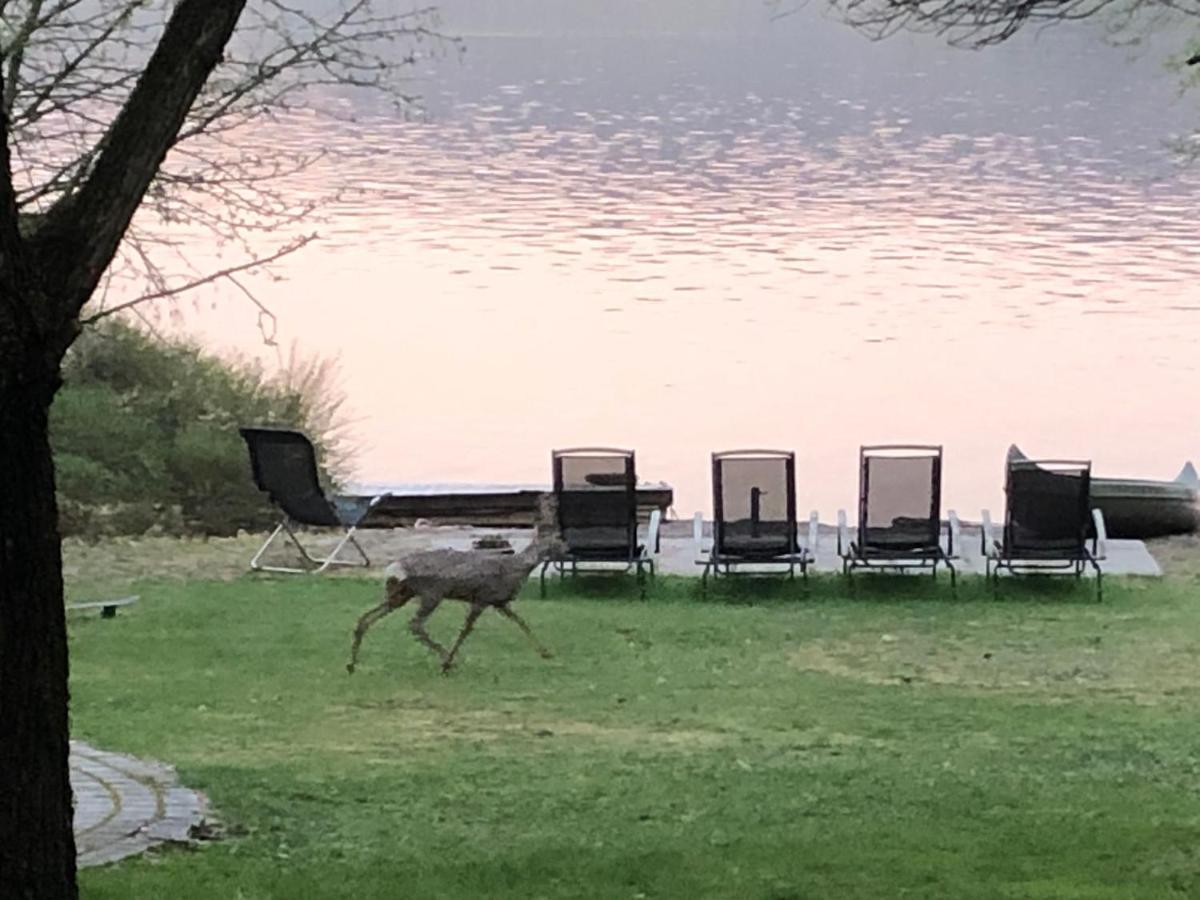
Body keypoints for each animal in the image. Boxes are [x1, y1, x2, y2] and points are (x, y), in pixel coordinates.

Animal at [348, 494, 566, 676]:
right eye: (558, 538)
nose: (567, 548)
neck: (517, 567)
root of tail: (395, 568)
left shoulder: (499, 602)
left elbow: (521, 622)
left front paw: (546, 652)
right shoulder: (482, 598)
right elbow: (466, 630)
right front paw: (448, 663)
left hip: (399, 593)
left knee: (366, 618)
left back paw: (352, 664)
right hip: (431, 592)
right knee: (415, 624)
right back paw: (446, 659)